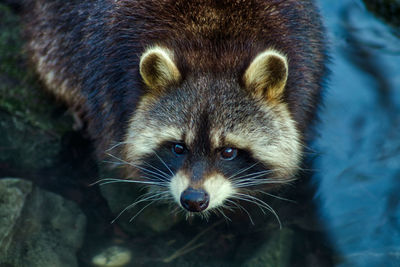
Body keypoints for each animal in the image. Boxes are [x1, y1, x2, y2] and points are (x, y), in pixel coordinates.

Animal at [23, 0, 326, 218]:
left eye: (228, 152)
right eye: (178, 148)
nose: (193, 200)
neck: (212, 52)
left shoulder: (306, 67)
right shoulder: (108, 88)